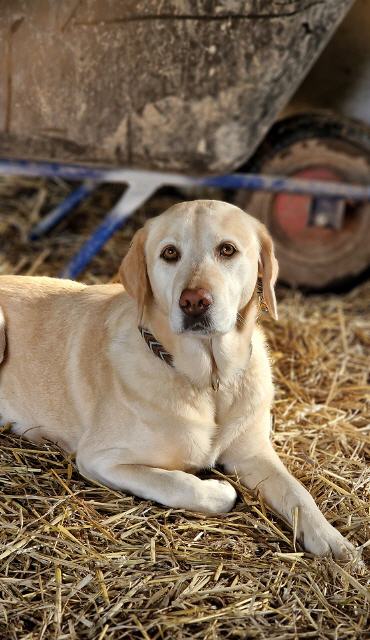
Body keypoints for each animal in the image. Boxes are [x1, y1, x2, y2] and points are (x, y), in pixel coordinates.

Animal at [0, 201, 356, 560]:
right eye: (169, 253)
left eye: (227, 249)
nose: (194, 301)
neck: (210, 378)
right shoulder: (101, 458)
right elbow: (179, 484)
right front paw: (218, 489)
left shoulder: (253, 452)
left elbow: (297, 493)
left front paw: (332, 540)